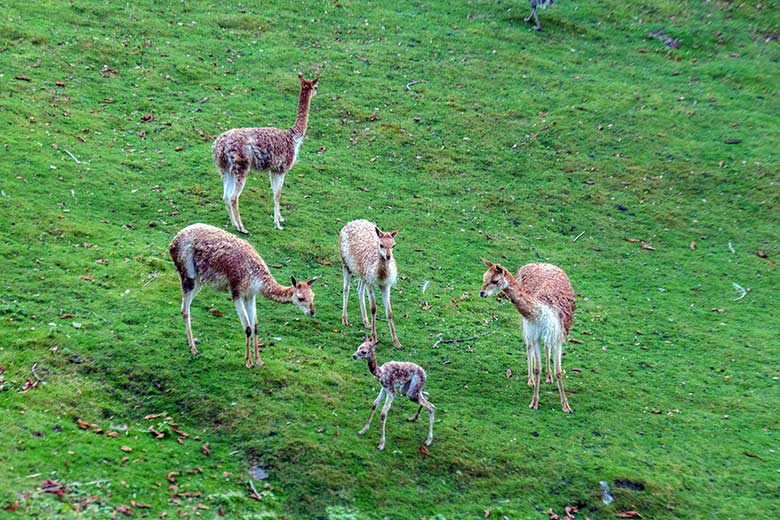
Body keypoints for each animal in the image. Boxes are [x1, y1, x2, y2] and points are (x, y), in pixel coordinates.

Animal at [170, 225, 316, 368]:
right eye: (300, 298)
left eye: (313, 296)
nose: (312, 312)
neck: (256, 276)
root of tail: (174, 240)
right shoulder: (236, 292)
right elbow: (248, 328)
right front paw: (248, 362)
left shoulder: (250, 295)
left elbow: (255, 326)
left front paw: (259, 361)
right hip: (187, 272)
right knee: (185, 309)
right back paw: (194, 349)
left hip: (200, 279)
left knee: (184, 307)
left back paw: (192, 345)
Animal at [478, 258, 576, 412]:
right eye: (484, 277)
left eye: (495, 280)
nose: (482, 293)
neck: (540, 311)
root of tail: (540, 263)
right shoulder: (534, 333)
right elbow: (537, 368)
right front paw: (534, 402)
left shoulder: (557, 334)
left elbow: (559, 371)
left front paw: (566, 406)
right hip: (524, 323)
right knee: (528, 346)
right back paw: (531, 381)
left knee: (546, 346)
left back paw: (549, 378)